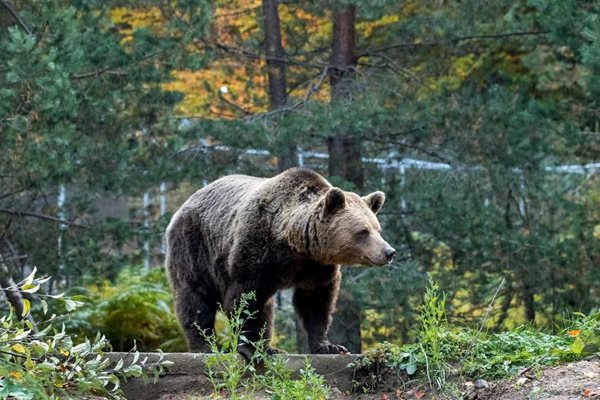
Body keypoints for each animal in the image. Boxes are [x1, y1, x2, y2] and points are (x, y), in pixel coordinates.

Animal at [166, 167, 396, 354]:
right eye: (363, 231)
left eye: (377, 229)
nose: (389, 252)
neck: (294, 244)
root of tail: (187, 202)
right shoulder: (256, 251)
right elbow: (244, 299)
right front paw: (250, 347)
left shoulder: (316, 267)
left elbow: (316, 302)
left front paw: (328, 345)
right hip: (194, 247)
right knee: (194, 297)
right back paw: (205, 346)